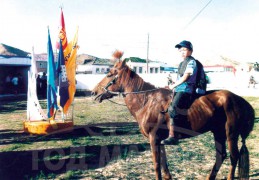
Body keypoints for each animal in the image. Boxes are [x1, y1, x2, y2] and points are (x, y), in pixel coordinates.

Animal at [92, 51, 256, 179]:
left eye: (109, 74)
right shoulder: (159, 140)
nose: (94, 92)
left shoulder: (154, 138)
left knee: (233, 157)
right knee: (221, 156)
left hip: (231, 134)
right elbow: (164, 165)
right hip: (218, 132)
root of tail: (239, 100)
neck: (147, 101)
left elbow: (157, 165)